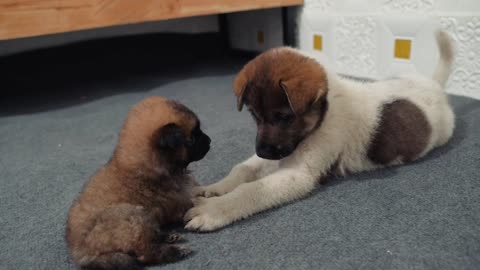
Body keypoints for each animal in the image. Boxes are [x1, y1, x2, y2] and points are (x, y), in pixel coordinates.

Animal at [65, 97, 210, 270]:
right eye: (192, 138)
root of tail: (80, 253)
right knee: (146, 253)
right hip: (133, 215)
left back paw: (168, 236)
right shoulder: (180, 202)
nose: (209, 141)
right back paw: (176, 251)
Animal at [186, 30, 456, 231]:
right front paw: (214, 189)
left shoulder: (298, 173)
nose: (263, 152)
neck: (326, 111)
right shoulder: (279, 154)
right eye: (255, 116)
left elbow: (251, 190)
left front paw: (215, 209)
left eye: (284, 117)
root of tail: (434, 85)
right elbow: (242, 169)